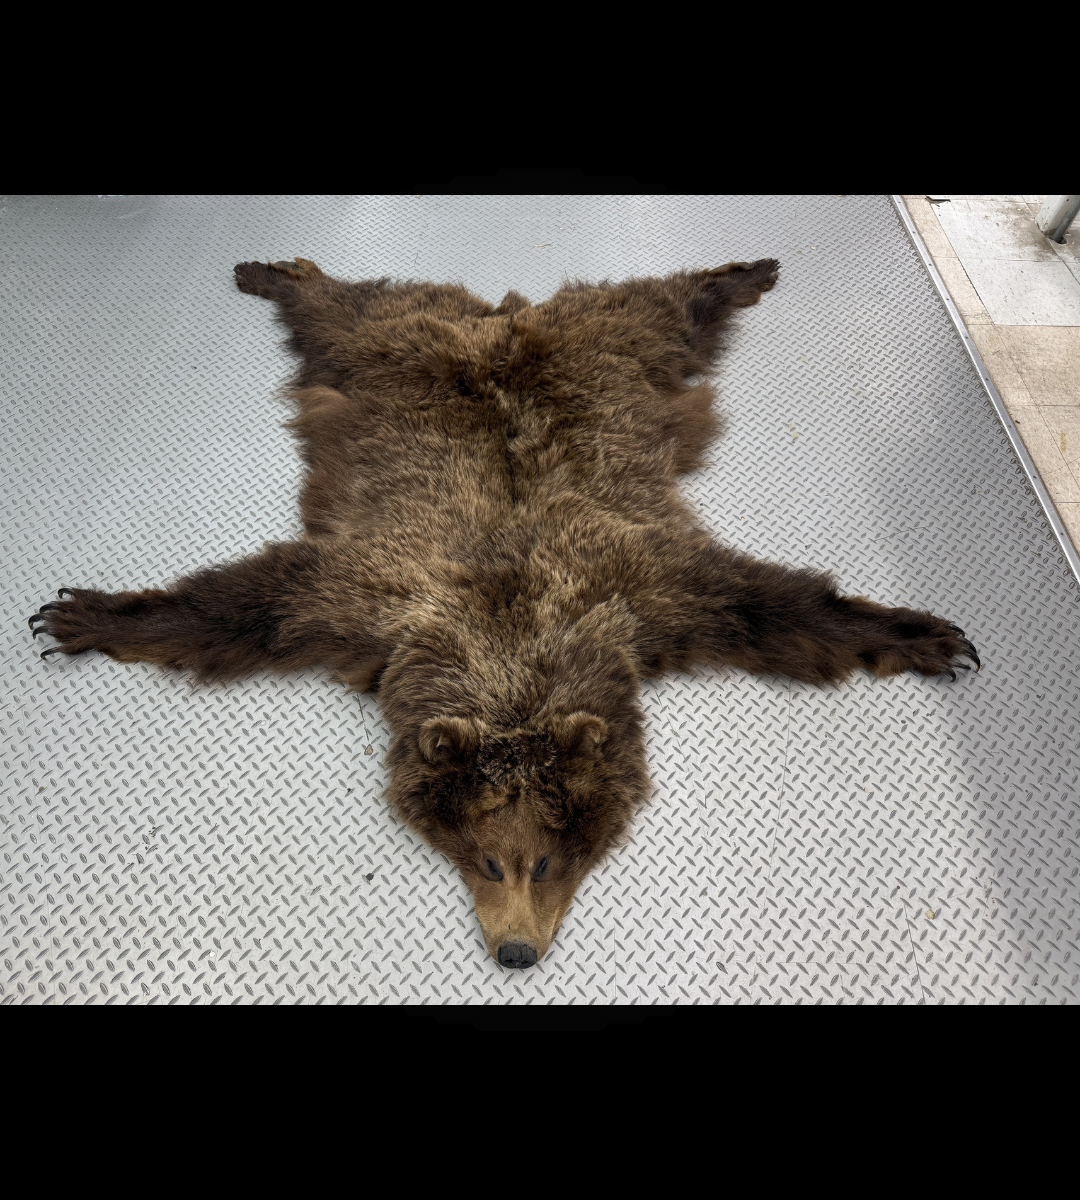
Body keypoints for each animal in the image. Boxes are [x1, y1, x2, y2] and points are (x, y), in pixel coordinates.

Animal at [29, 256, 979, 969]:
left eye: (550, 858)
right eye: (487, 858)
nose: (516, 952)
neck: (511, 646)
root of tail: (501, 320)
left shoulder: (646, 589)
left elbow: (779, 606)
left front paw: (925, 633)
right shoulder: (373, 595)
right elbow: (240, 605)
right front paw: (89, 615)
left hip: (609, 341)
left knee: (661, 305)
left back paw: (742, 273)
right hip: (390, 341)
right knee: (344, 308)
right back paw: (275, 270)